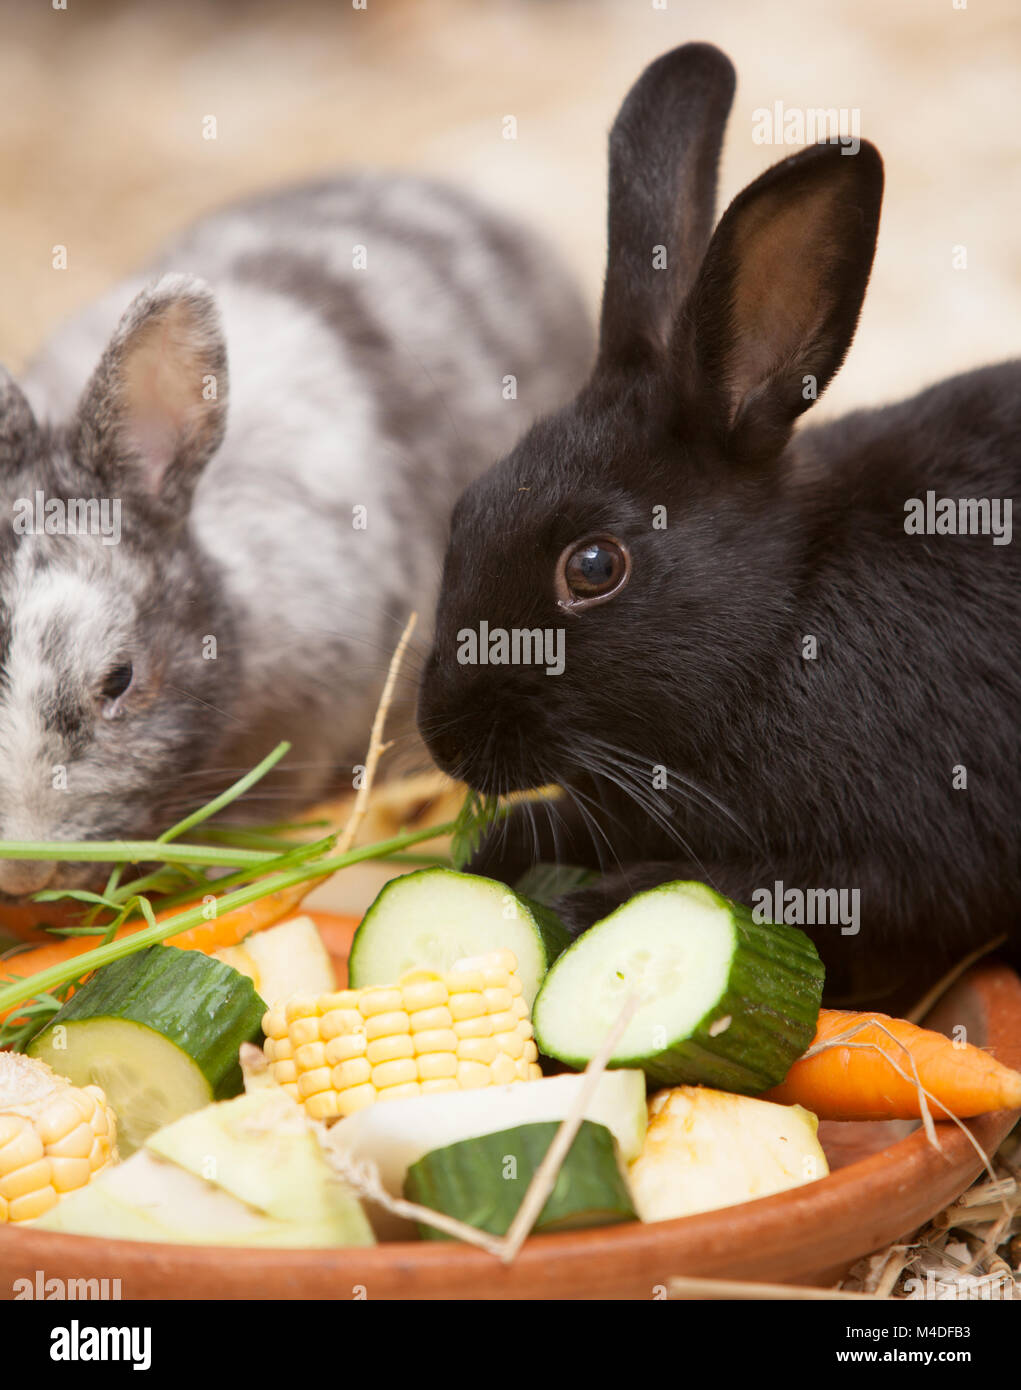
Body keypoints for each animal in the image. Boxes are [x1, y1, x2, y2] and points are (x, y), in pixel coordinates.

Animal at [416, 44, 1021, 1004]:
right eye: (468, 507)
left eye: (593, 566)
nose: (443, 740)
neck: (782, 625)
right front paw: (491, 860)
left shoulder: (900, 863)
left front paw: (587, 910)